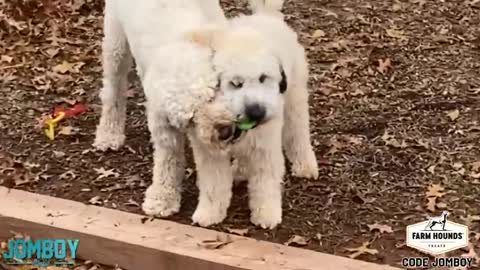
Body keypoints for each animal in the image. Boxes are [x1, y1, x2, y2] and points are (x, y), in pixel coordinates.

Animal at [94, 0, 318, 229]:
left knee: (297, 130)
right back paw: (109, 134)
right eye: (191, 119)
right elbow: (169, 164)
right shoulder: (168, 129)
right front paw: (163, 199)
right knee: (113, 90)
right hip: (116, 44)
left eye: (213, 93)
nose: (224, 131)